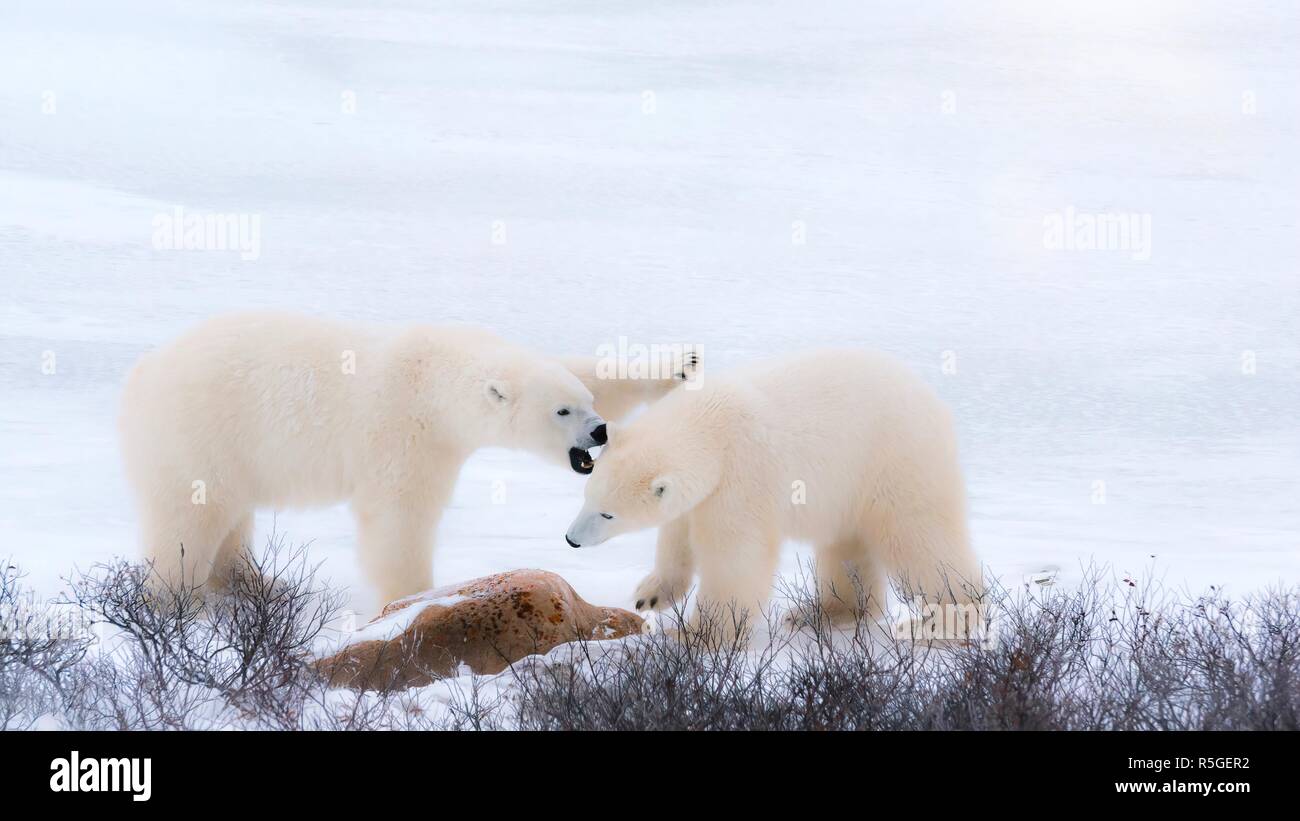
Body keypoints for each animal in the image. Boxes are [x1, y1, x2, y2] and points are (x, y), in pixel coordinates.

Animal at [119, 310, 605, 600]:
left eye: (588, 399)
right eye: (562, 410)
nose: (600, 430)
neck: (432, 384)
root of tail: (143, 373)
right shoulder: (404, 434)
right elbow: (399, 518)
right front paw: (411, 597)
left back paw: (255, 582)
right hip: (199, 433)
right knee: (191, 515)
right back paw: (175, 599)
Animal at [564, 348, 977, 628]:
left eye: (608, 513)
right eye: (587, 496)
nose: (571, 540)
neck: (712, 424)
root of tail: (936, 402)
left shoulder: (743, 475)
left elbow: (735, 557)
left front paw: (699, 634)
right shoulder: (703, 489)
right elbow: (678, 533)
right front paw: (649, 595)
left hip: (892, 460)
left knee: (918, 537)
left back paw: (947, 619)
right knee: (847, 546)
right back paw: (827, 612)